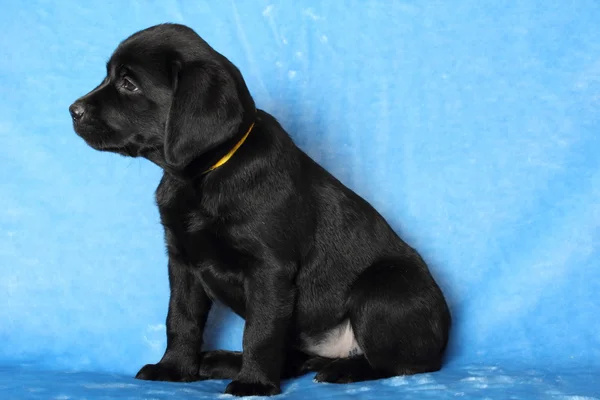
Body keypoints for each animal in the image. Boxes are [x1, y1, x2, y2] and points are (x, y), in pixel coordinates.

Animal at [68, 23, 450, 396]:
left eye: (128, 83)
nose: (73, 109)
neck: (203, 176)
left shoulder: (269, 269)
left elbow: (260, 331)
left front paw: (253, 384)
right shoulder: (182, 263)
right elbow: (180, 318)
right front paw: (174, 369)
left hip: (381, 289)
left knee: (402, 364)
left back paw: (342, 369)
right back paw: (220, 360)